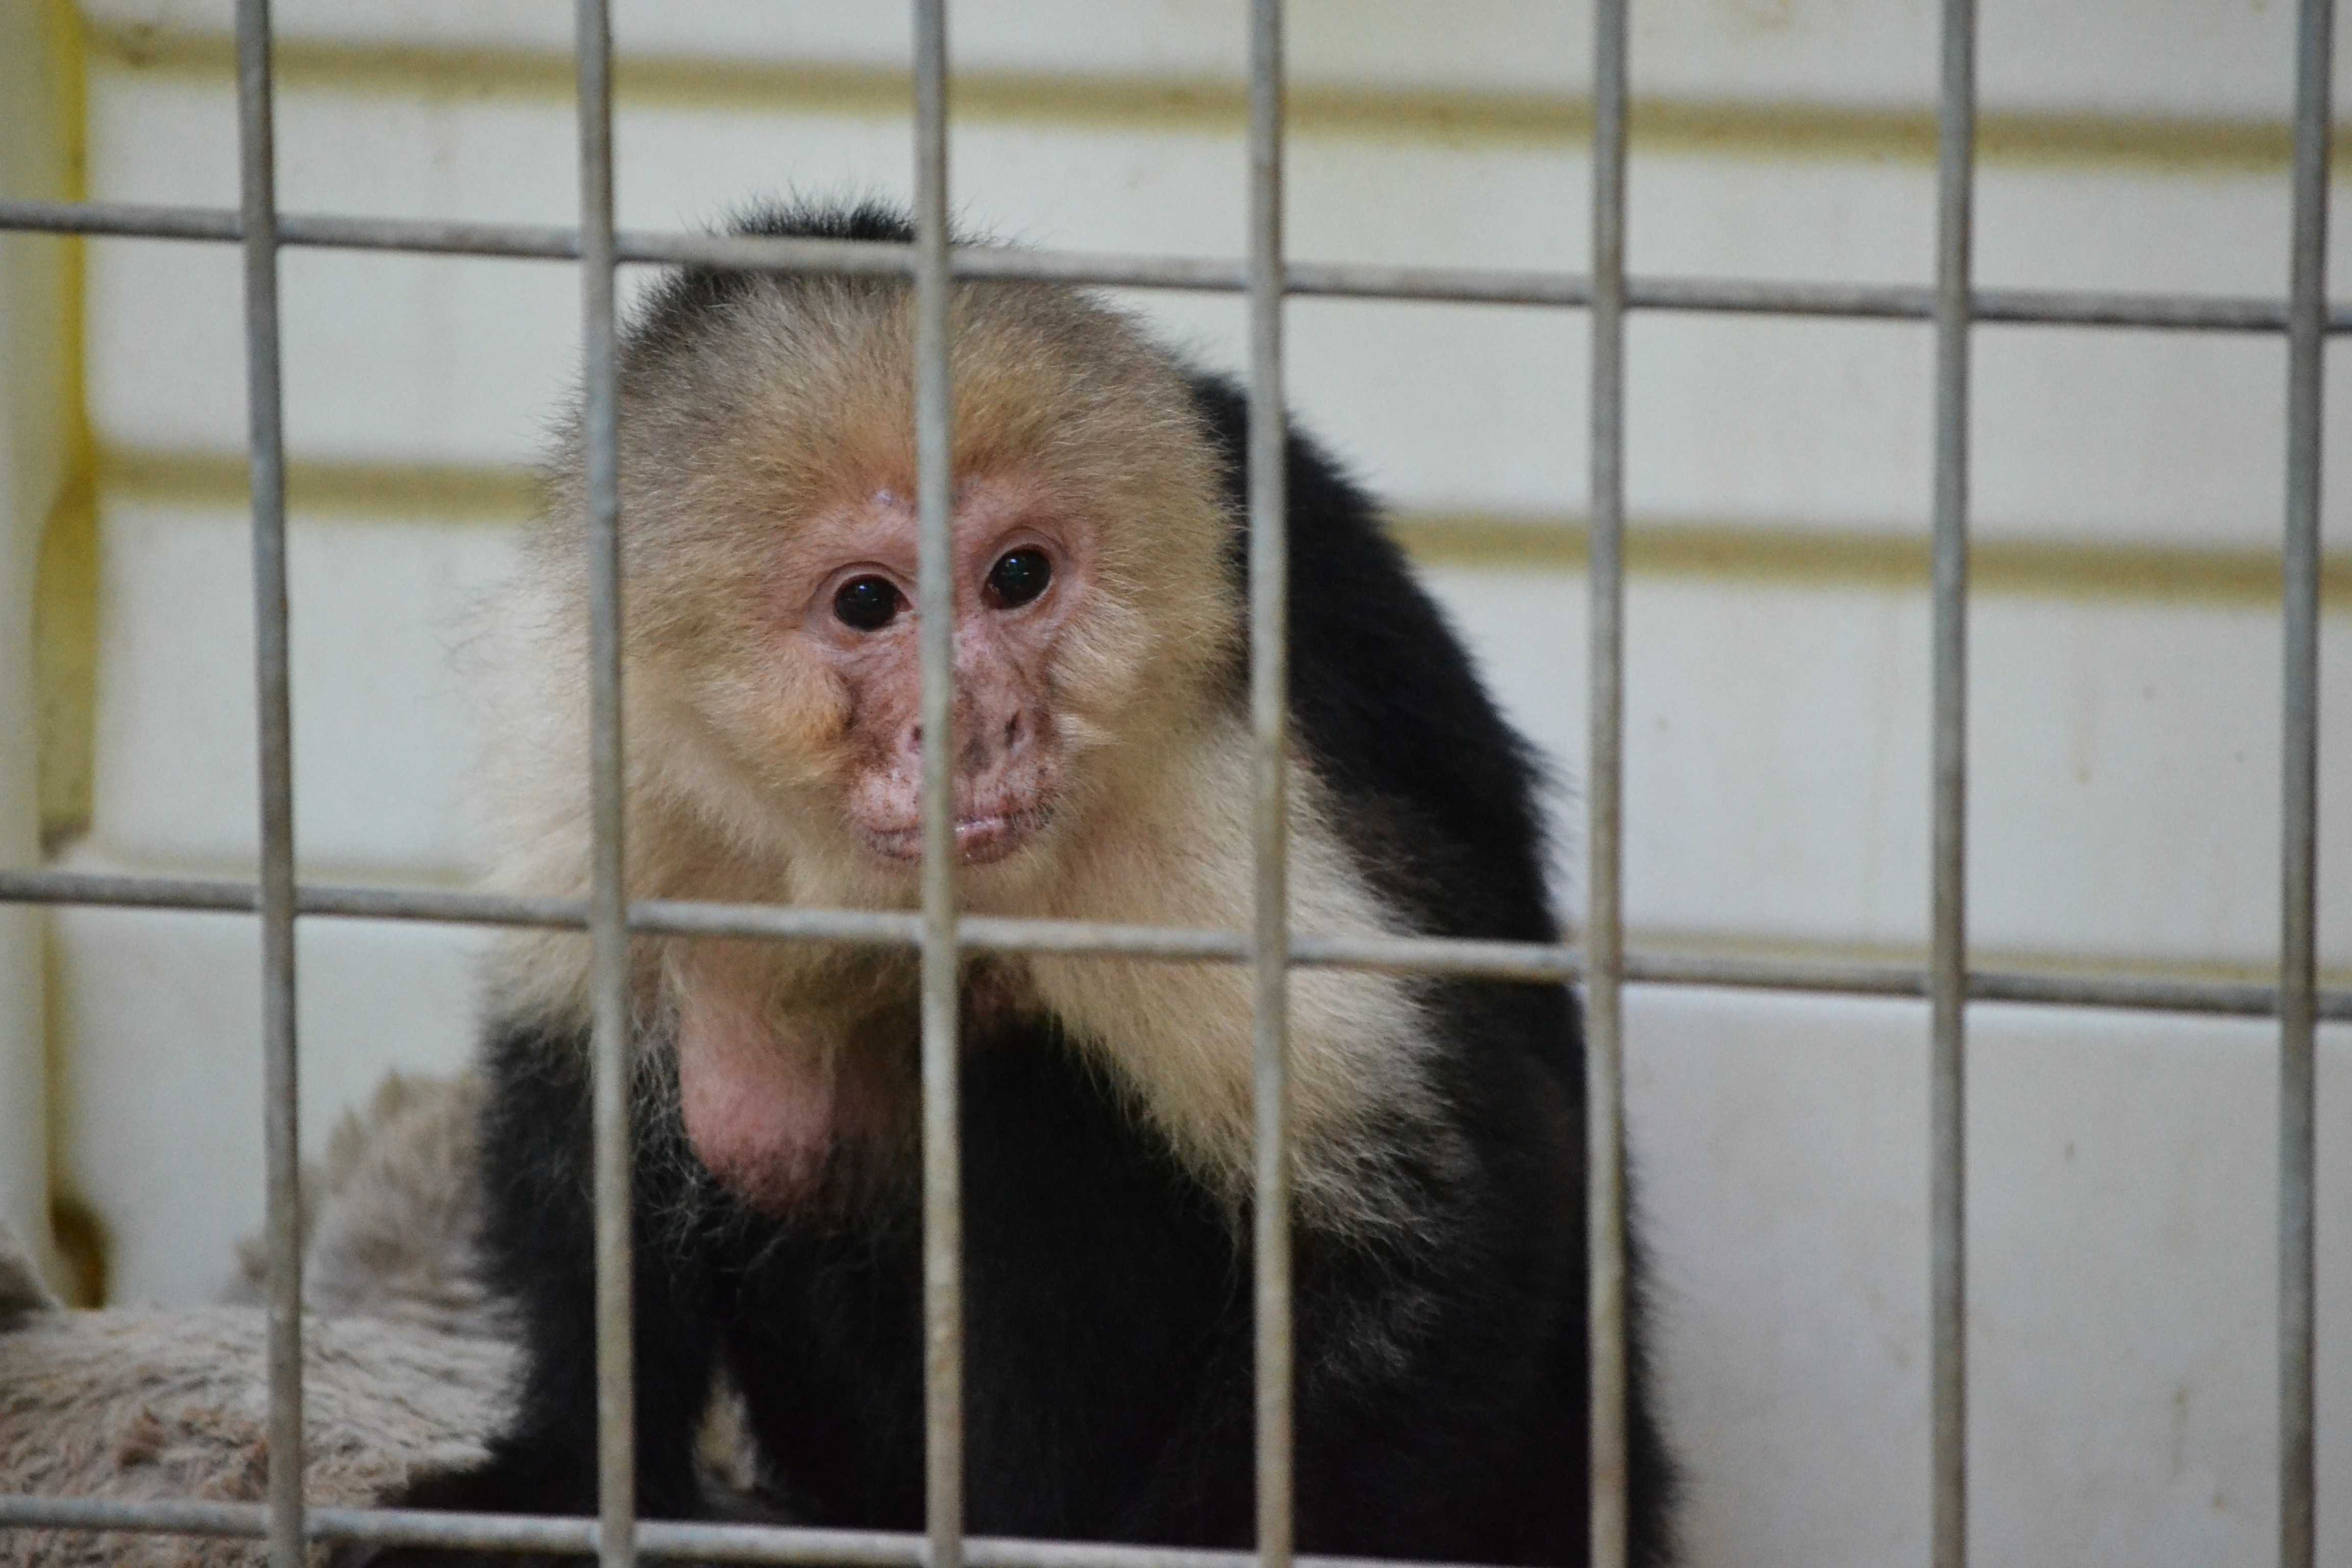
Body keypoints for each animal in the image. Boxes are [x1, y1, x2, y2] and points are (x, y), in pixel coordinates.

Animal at [353, 202, 1674, 1561]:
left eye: (1018, 576)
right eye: (869, 602)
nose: (977, 726)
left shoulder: (1190, 785)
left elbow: (1455, 1216)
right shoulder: (589, 736)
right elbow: (581, 1102)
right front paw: (568, 1474)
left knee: (1023, 1069)